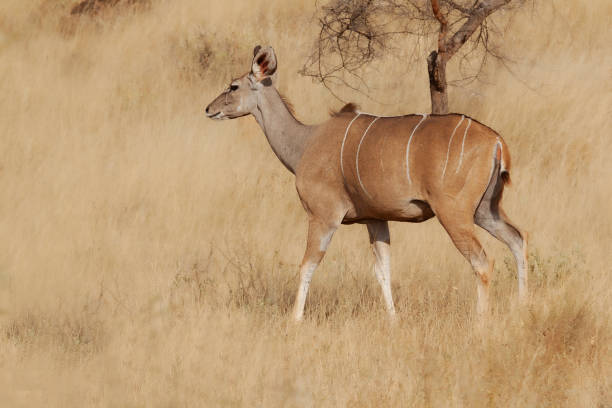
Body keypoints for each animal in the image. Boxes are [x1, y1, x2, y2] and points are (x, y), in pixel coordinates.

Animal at [204, 46, 524, 320]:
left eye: (233, 86)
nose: (208, 109)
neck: (305, 142)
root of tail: (496, 141)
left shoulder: (324, 216)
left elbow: (308, 265)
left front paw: (295, 319)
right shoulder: (376, 219)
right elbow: (383, 270)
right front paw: (393, 320)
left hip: (454, 213)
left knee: (482, 261)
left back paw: (480, 321)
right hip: (485, 210)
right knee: (517, 240)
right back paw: (523, 307)